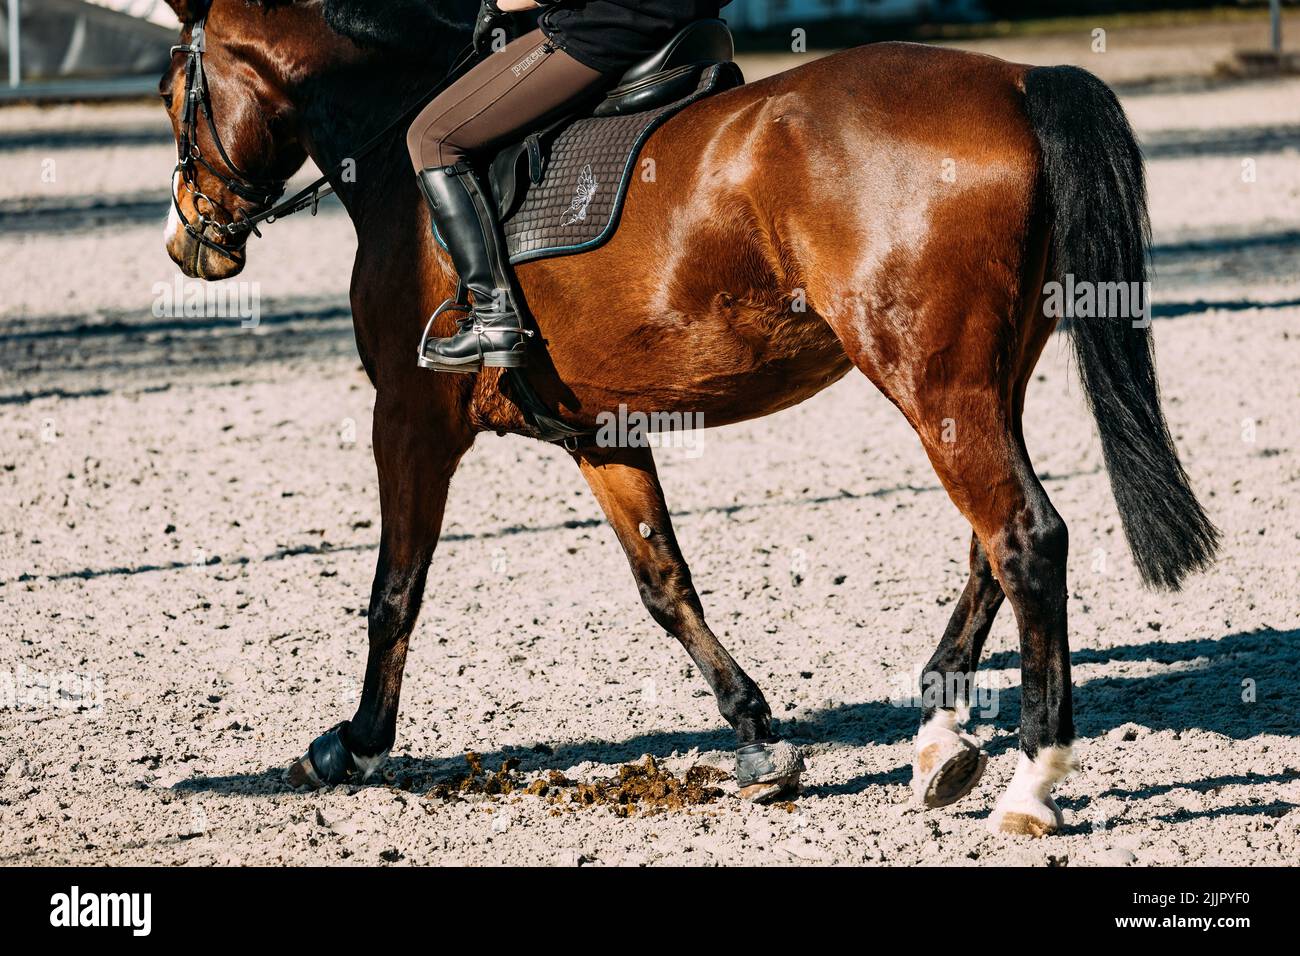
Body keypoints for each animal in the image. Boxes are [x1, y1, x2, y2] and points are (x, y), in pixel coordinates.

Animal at [157, 0, 1218, 834]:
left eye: (175, 91)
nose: (189, 244)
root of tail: (1014, 80)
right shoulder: (597, 430)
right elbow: (665, 583)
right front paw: (756, 738)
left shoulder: (410, 419)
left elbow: (394, 591)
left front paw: (358, 746)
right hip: (980, 381)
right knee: (988, 546)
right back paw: (938, 740)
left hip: (931, 380)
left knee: (1025, 536)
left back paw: (1032, 785)